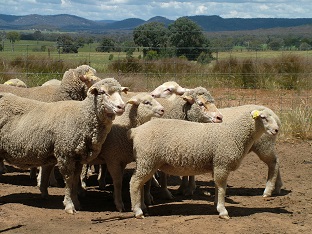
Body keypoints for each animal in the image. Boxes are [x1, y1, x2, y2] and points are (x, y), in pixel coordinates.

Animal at [0, 78, 128, 214]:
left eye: (120, 92)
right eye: (102, 92)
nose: (121, 107)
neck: (82, 116)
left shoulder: (78, 157)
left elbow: (75, 179)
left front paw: (76, 202)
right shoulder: (65, 153)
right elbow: (69, 179)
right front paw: (69, 205)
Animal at [128, 105, 280, 219]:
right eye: (263, 117)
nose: (276, 130)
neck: (234, 134)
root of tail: (136, 131)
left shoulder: (217, 165)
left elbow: (217, 186)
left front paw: (217, 205)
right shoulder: (222, 163)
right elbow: (222, 187)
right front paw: (223, 210)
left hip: (147, 161)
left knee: (140, 183)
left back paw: (142, 206)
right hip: (147, 160)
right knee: (135, 182)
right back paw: (138, 211)